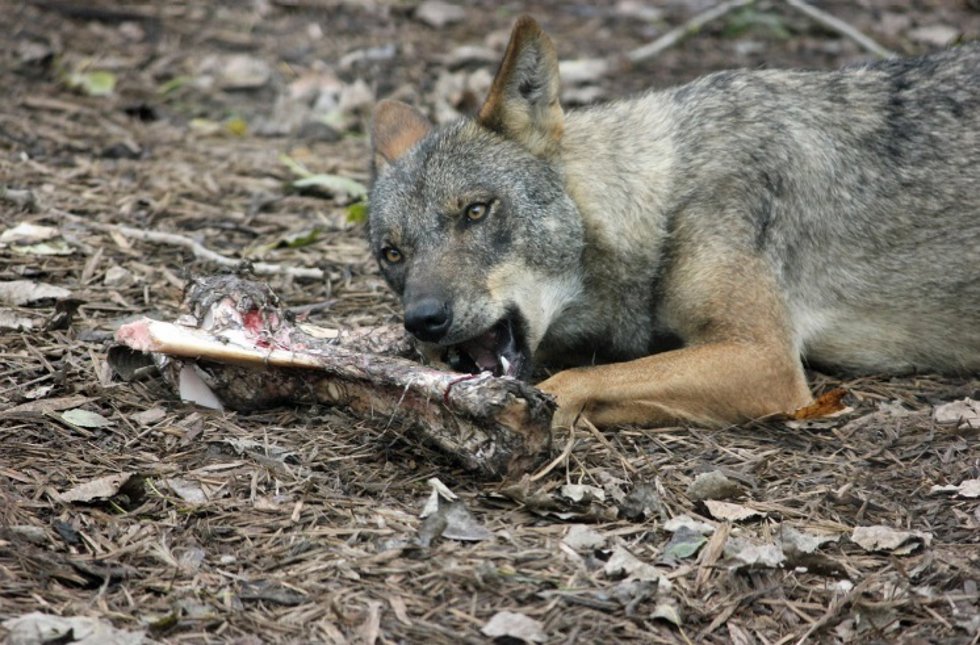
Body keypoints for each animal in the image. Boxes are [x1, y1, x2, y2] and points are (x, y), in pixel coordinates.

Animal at [367, 16, 980, 429]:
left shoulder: (763, 359)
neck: (664, 201)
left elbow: (577, 381)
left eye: (476, 211)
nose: (423, 320)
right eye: (392, 254)